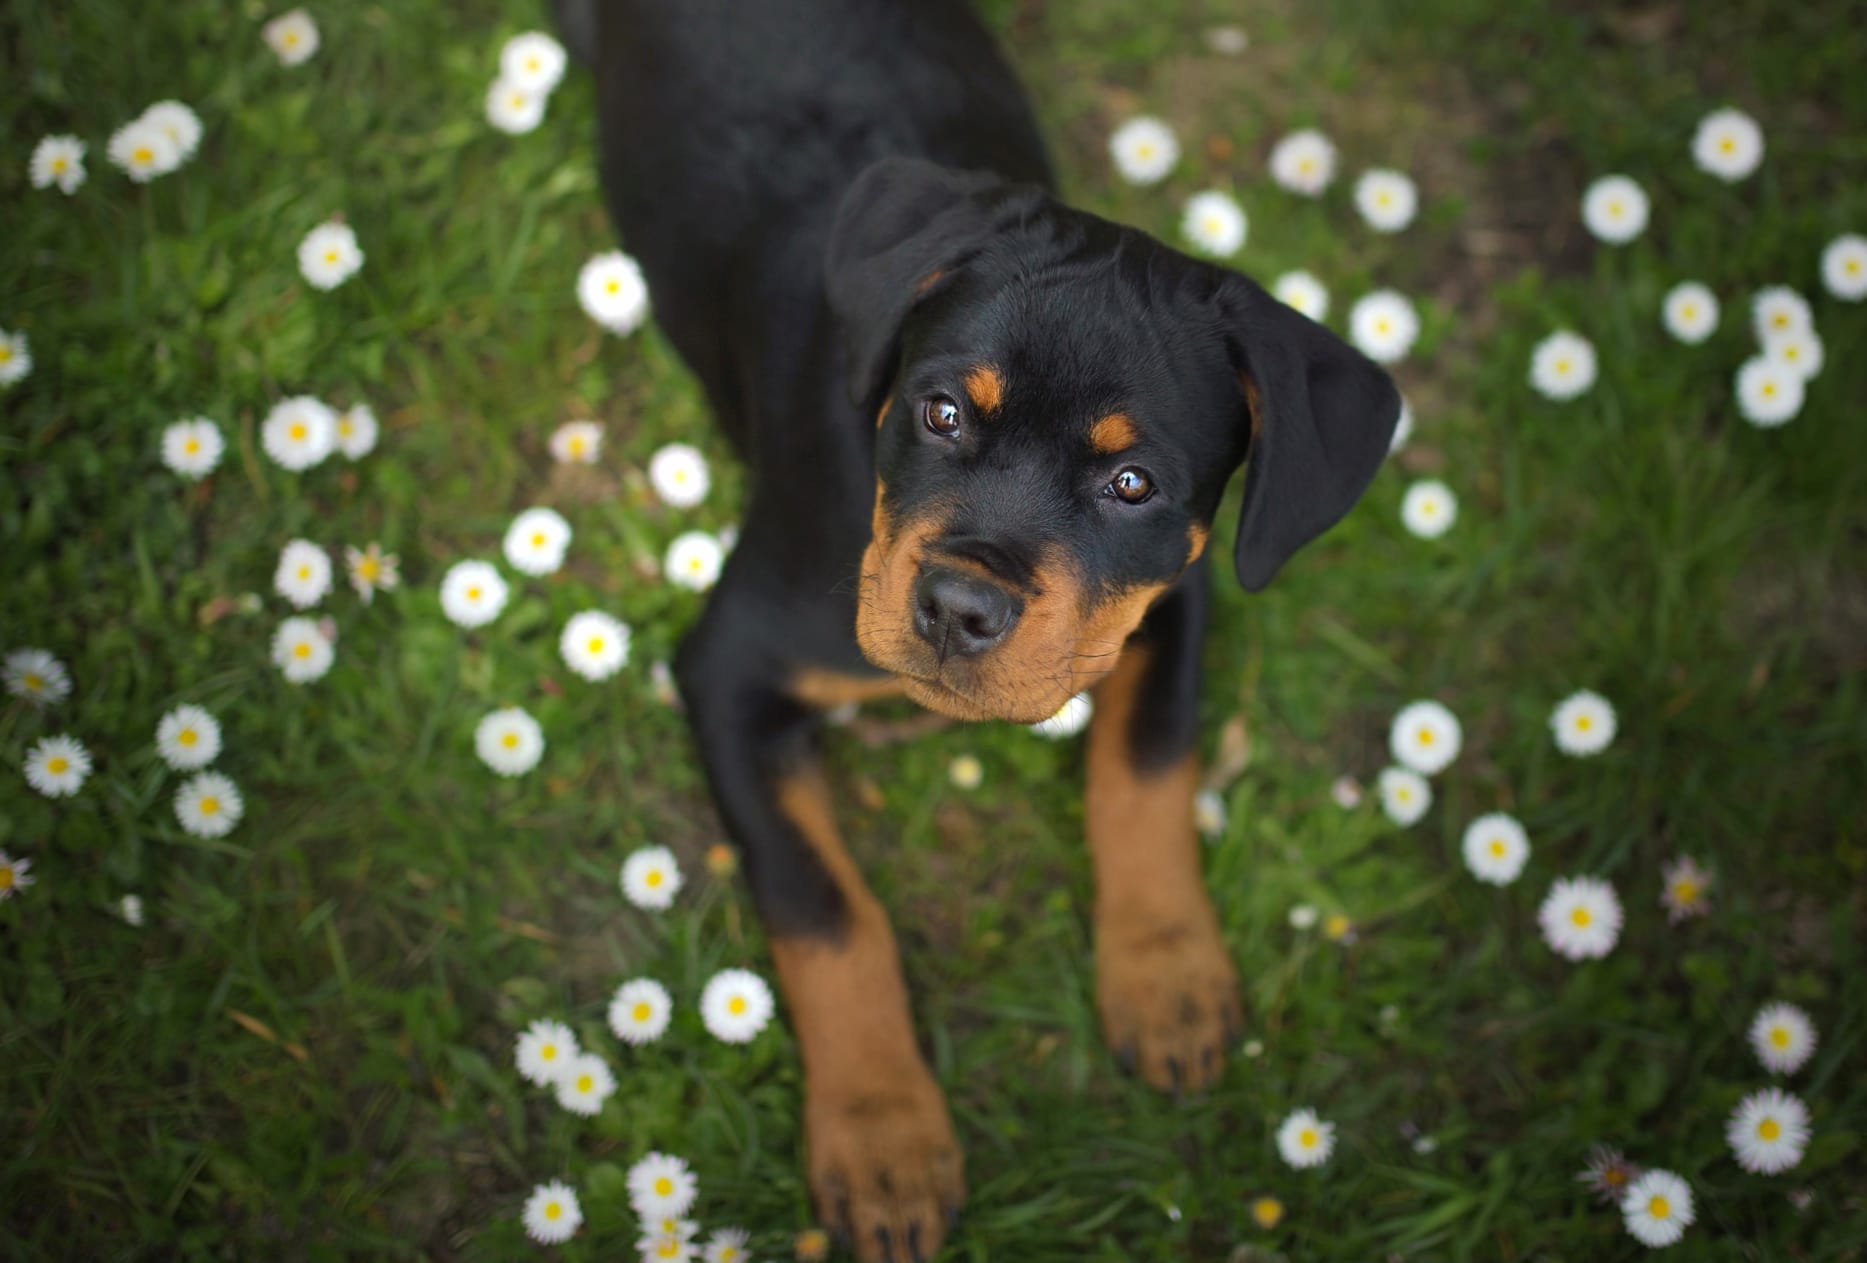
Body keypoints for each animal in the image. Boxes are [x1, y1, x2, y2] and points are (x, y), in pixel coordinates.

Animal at [560, 2, 1396, 1255]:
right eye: (943, 411)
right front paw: (883, 1141)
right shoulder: (730, 666)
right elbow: (825, 909)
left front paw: (1166, 976)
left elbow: (1146, 769)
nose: (958, 609)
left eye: (1134, 486)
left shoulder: (1172, 601)